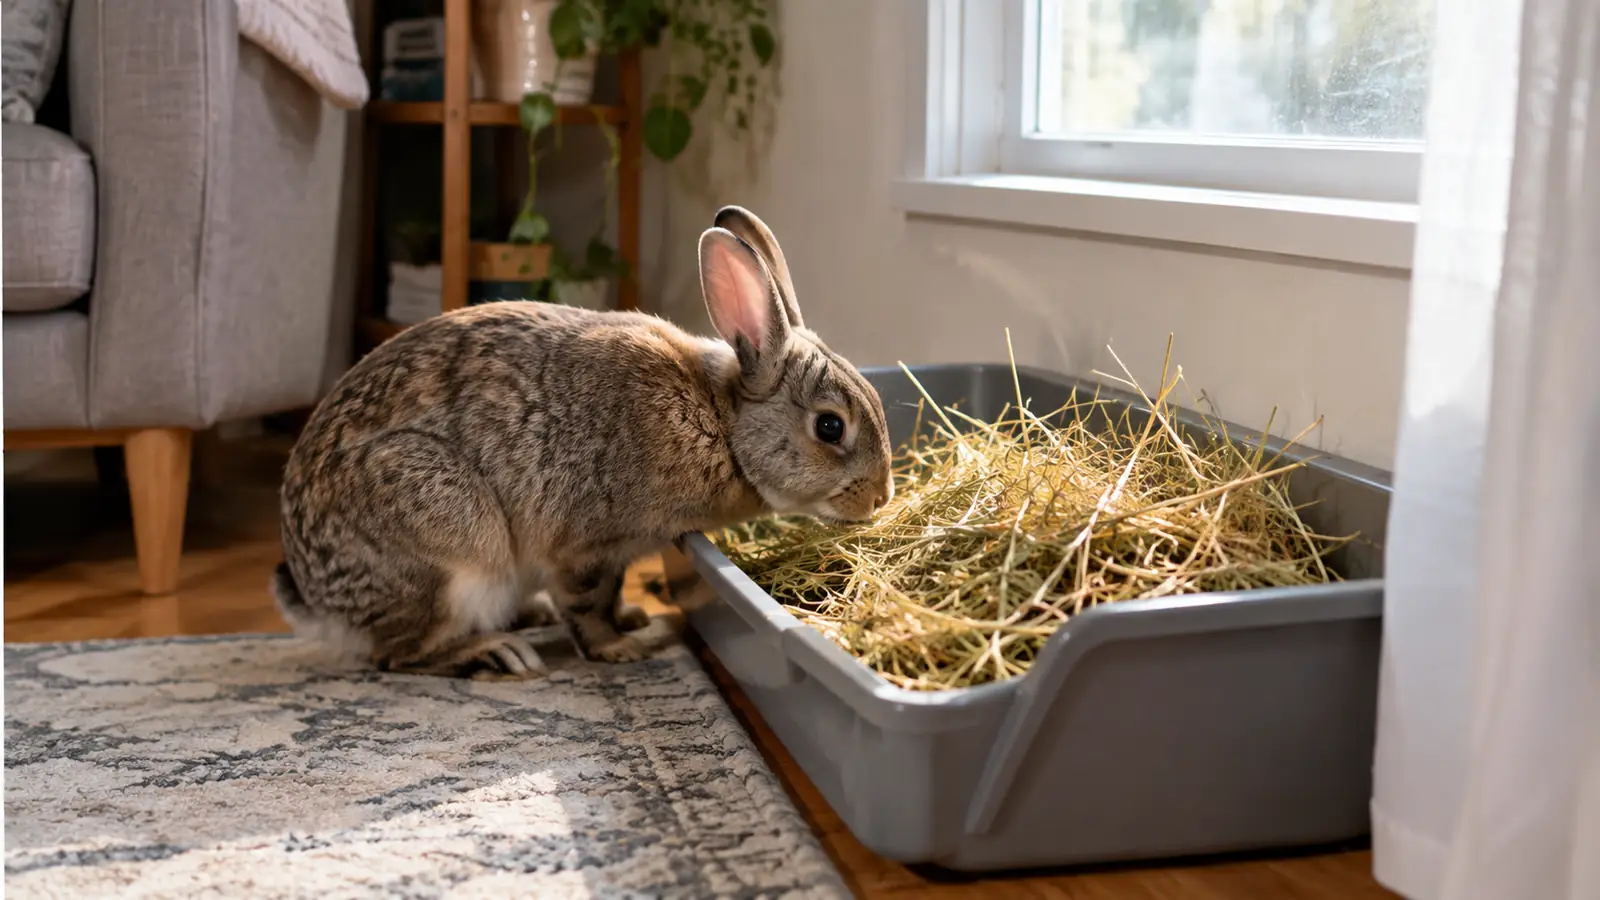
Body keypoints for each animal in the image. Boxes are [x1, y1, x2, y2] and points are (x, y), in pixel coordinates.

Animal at [273, 206, 895, 680]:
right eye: (830, 427)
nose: (881, 496)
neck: (721, 423)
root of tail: (317, 600)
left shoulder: (620, 551)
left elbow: (611, 592)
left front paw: (631, 619)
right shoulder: (586, 543)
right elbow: (587, 600)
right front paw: (623, 647)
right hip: (452, 546)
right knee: (396, 654)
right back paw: (496, 654)